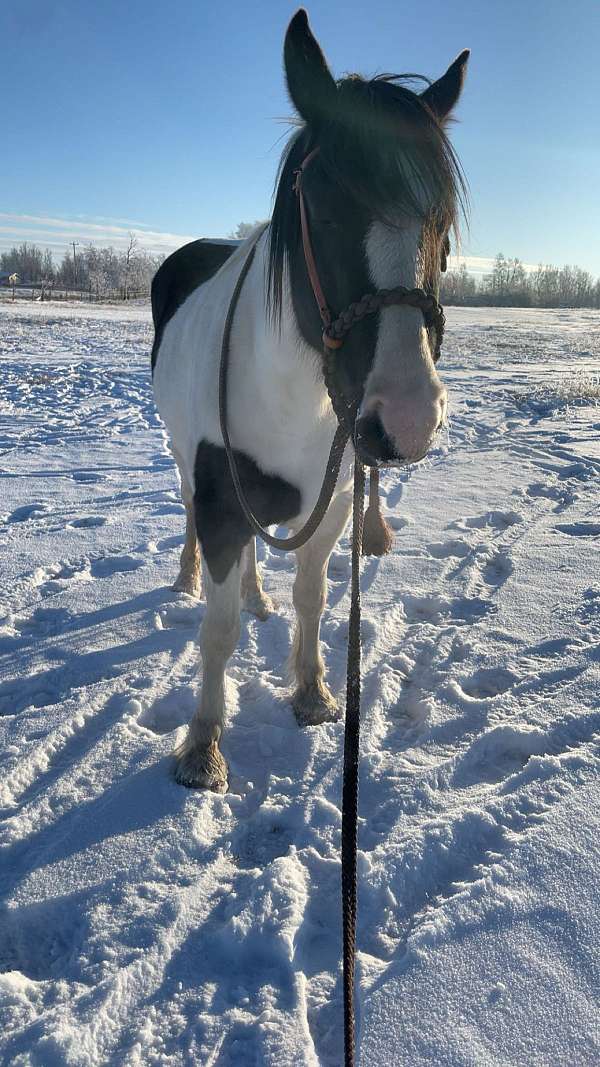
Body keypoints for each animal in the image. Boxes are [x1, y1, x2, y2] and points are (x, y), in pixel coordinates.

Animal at [149, 10, 467, 793]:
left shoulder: (332, 505)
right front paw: (202, 745)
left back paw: (257, 594)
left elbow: (313, 597)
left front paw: (313, 691)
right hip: (184, 463)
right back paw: (187, 577)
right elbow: (219, 631)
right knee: (190, 519)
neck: (298, 401)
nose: (406, 420)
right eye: (319, 204)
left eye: (442, 221)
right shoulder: (222, 503)